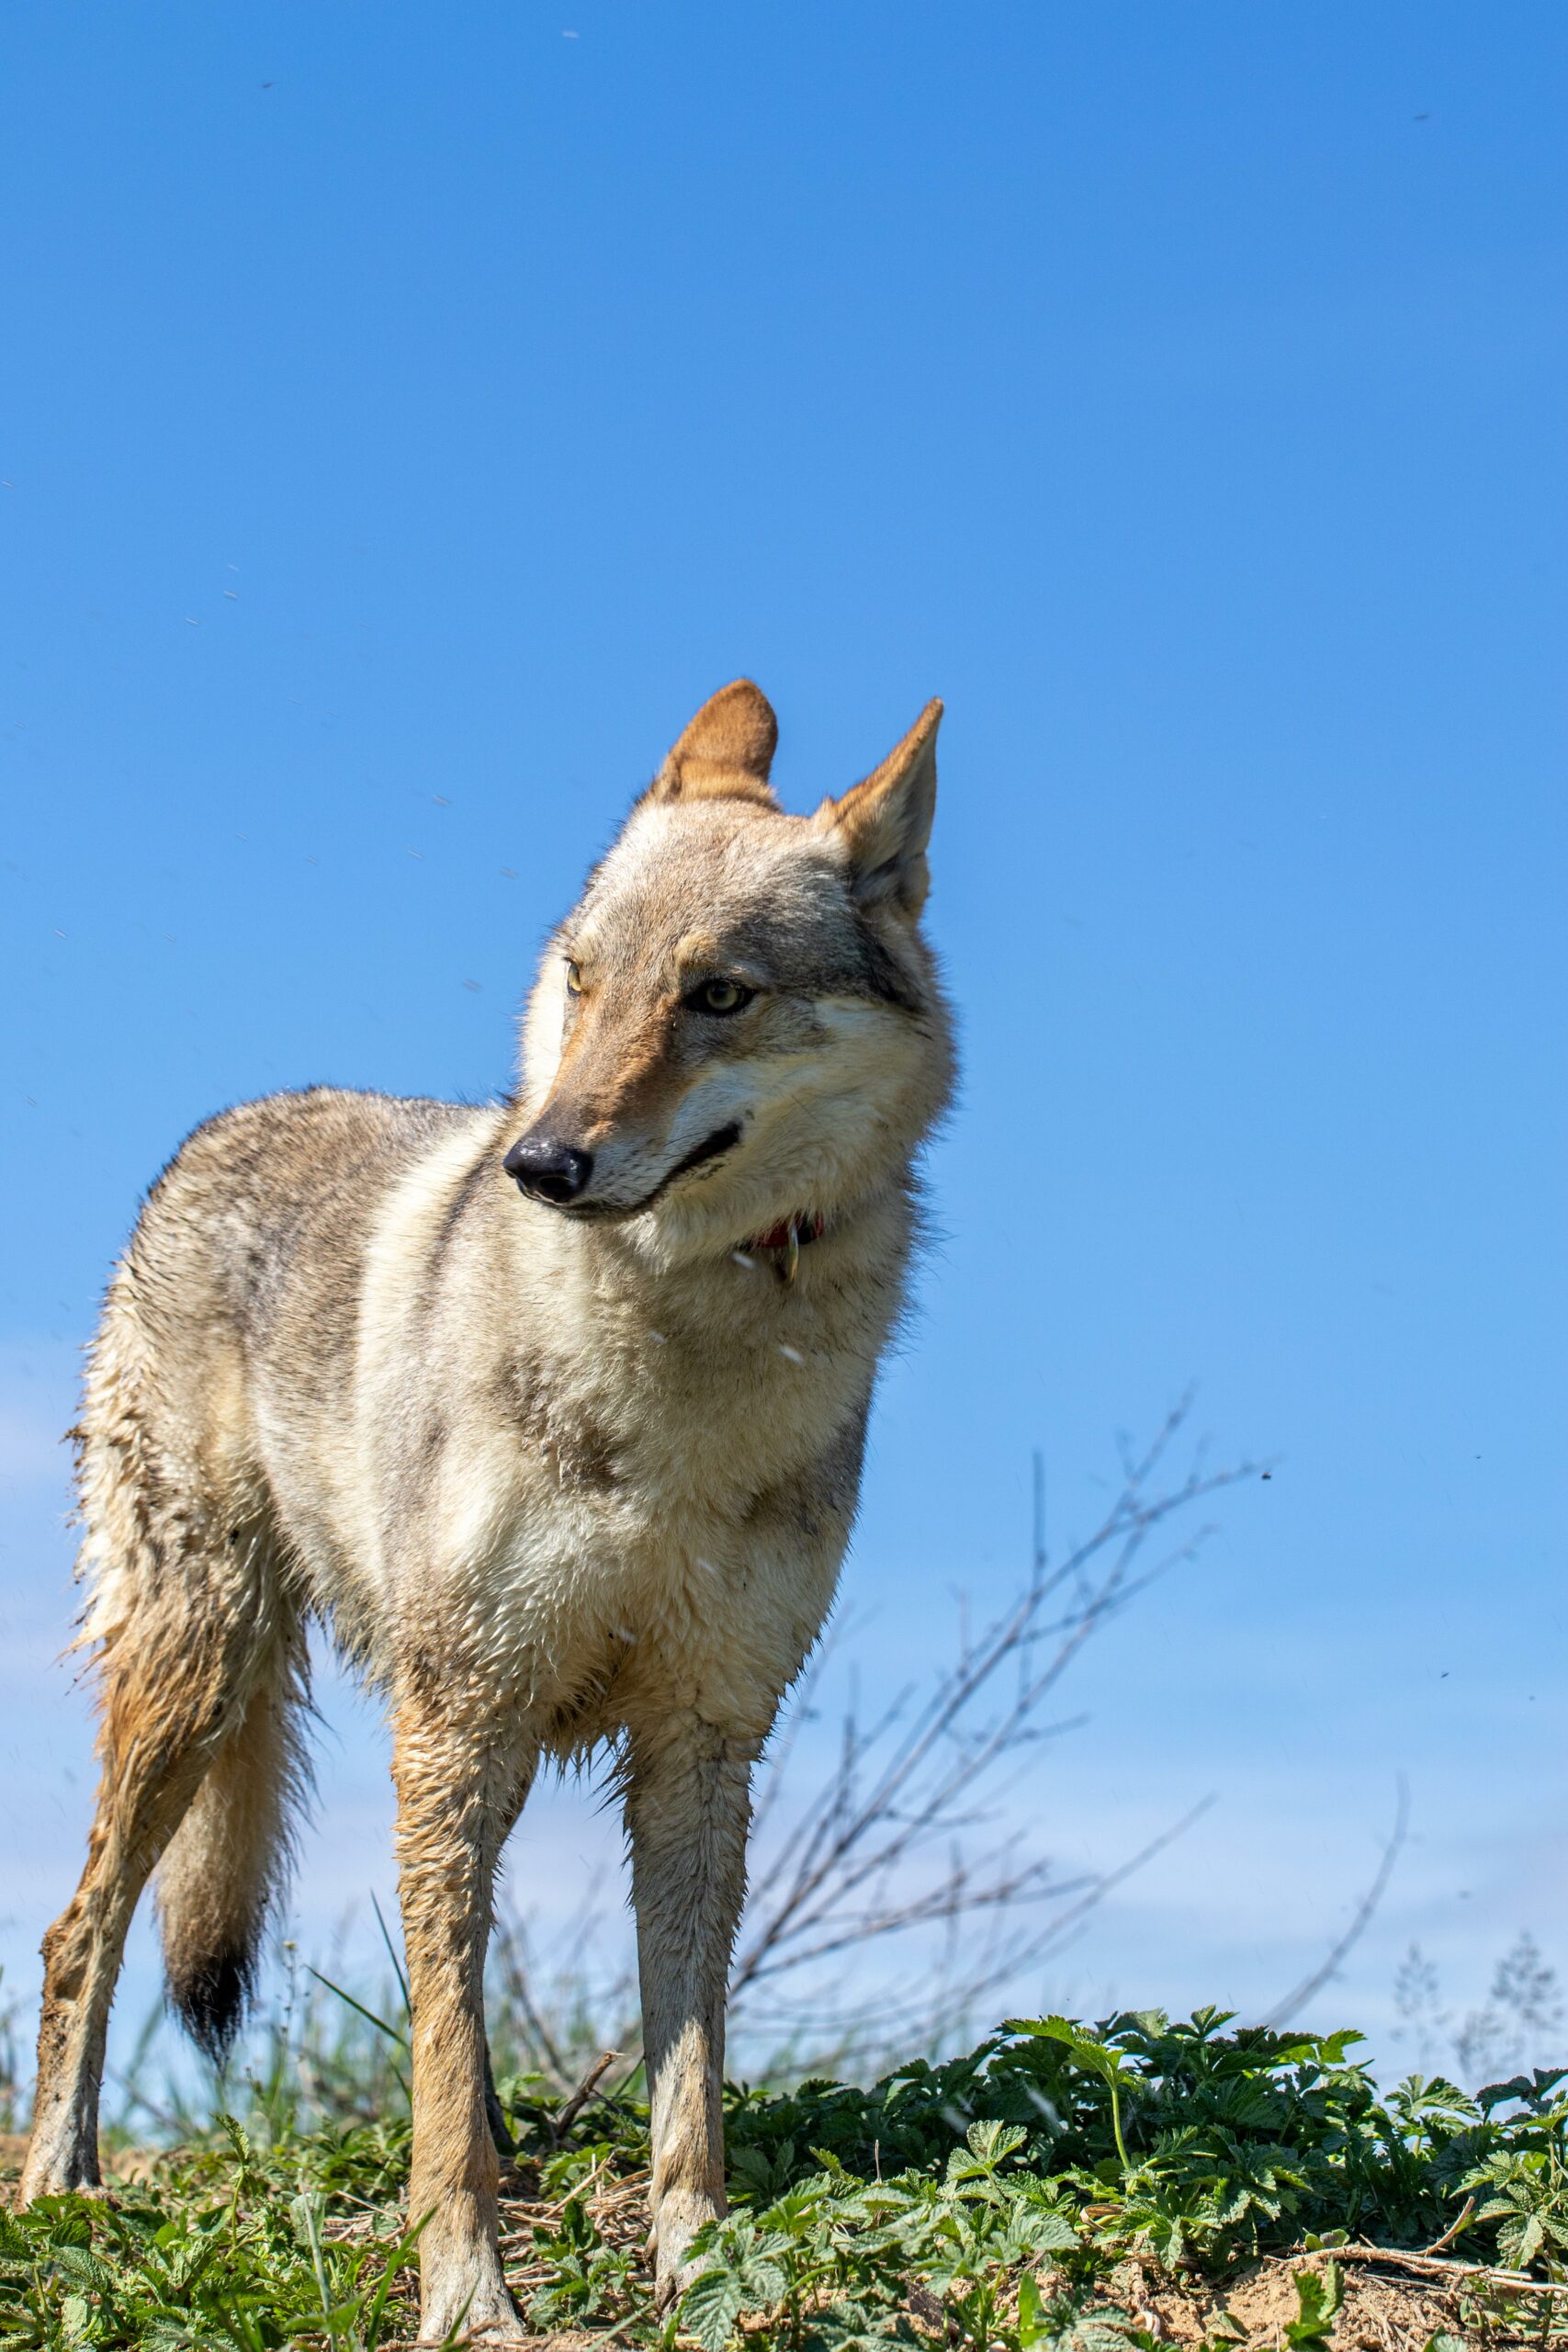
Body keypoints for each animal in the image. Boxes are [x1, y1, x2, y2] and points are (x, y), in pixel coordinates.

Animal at [20, 679, 955, 2341]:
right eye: (582, 983)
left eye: (716, 997)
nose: (538, 1163)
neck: (682, 1371)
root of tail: (219, 1129)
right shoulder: (463, 1718)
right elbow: (446, 2076)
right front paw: (466, 2300)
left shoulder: (701, 1744)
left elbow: (686, 2073)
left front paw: (698, 2269)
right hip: (201, 1676)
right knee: (85, 1931)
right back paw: (55, 2192)